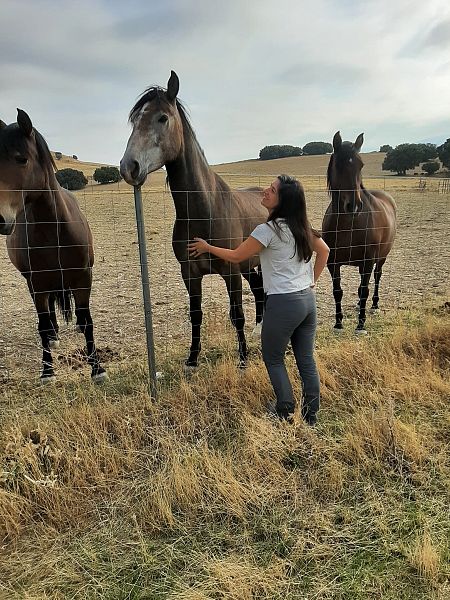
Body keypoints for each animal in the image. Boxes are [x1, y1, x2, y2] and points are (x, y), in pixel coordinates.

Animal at [0, 110, 106, 382]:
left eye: (21, 159)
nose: (0, 218)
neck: (54, 232)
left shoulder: (83, 277)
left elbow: (88, 321)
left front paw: (97, 368)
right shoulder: (37, 283)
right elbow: (42, 324)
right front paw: (47, 370)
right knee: (47, 314)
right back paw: (54, 335)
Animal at [120, 72, 268, 368]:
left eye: (162, 118)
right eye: (135, 120)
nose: (129, 167)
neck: (205, 209)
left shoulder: (230, 271)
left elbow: (236, 314)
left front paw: (243, 360)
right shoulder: (189, 273)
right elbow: (196, 315)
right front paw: (192, 359)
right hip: (248, 264)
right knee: (258, 290)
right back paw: (258, 330)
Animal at [322, 131, 396, 332]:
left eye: (360, 165)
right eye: (338, 164)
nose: (353, 206)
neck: (349, 224)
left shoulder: (367, 261)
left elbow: (364, 290)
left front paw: (361, 324)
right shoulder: (333, 263)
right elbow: (338, 291)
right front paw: (338, 323)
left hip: (381, 257)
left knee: (377, 277)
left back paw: (374, 305)